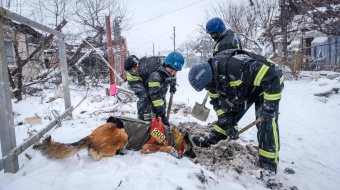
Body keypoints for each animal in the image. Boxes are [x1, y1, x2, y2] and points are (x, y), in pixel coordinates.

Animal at [33, 115, 197, 161]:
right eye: (192, 148)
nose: (195, 156)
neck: (174, 137)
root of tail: (91, 137)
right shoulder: (148, 147)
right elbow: (166, 147)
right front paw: (172, 151)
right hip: (123, 134)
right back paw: (120, 153)